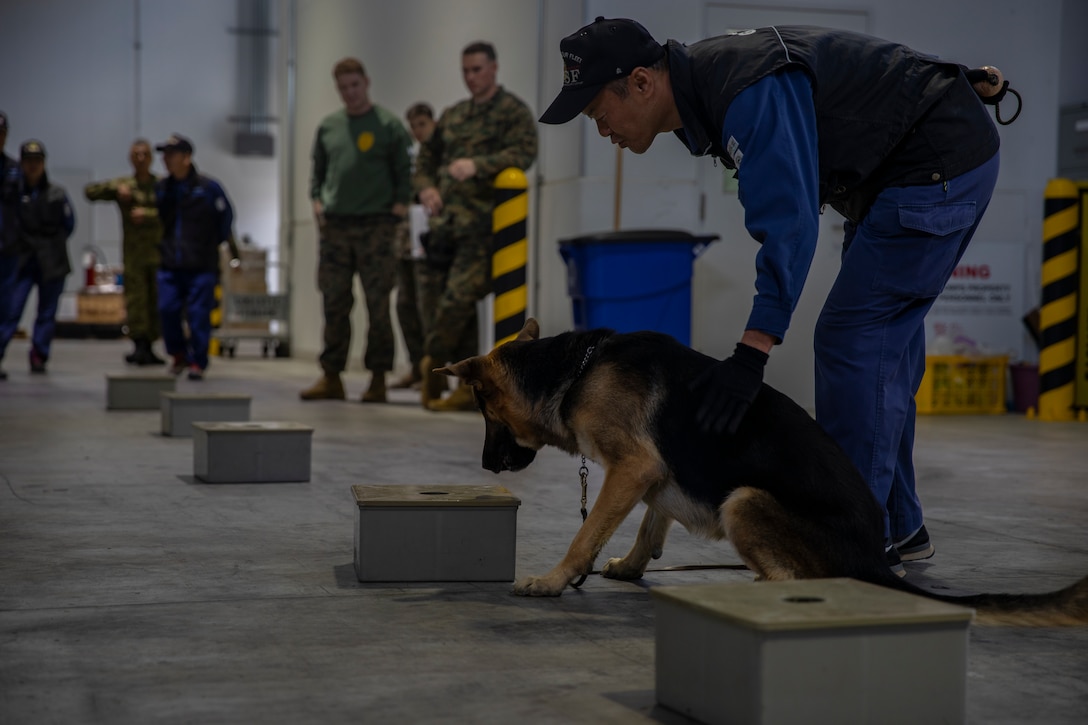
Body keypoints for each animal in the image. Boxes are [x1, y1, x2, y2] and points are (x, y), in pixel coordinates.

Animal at [439, 320, 1088, 622]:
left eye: (484, 412)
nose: (485, 464)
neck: (577, 368)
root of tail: (874, 560)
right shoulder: (655, 470)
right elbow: (652, 521)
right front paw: (629, 565)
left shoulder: (630, 466)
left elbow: (586, 534)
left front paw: (554, 579)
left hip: (745, 499)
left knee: (792, 580)